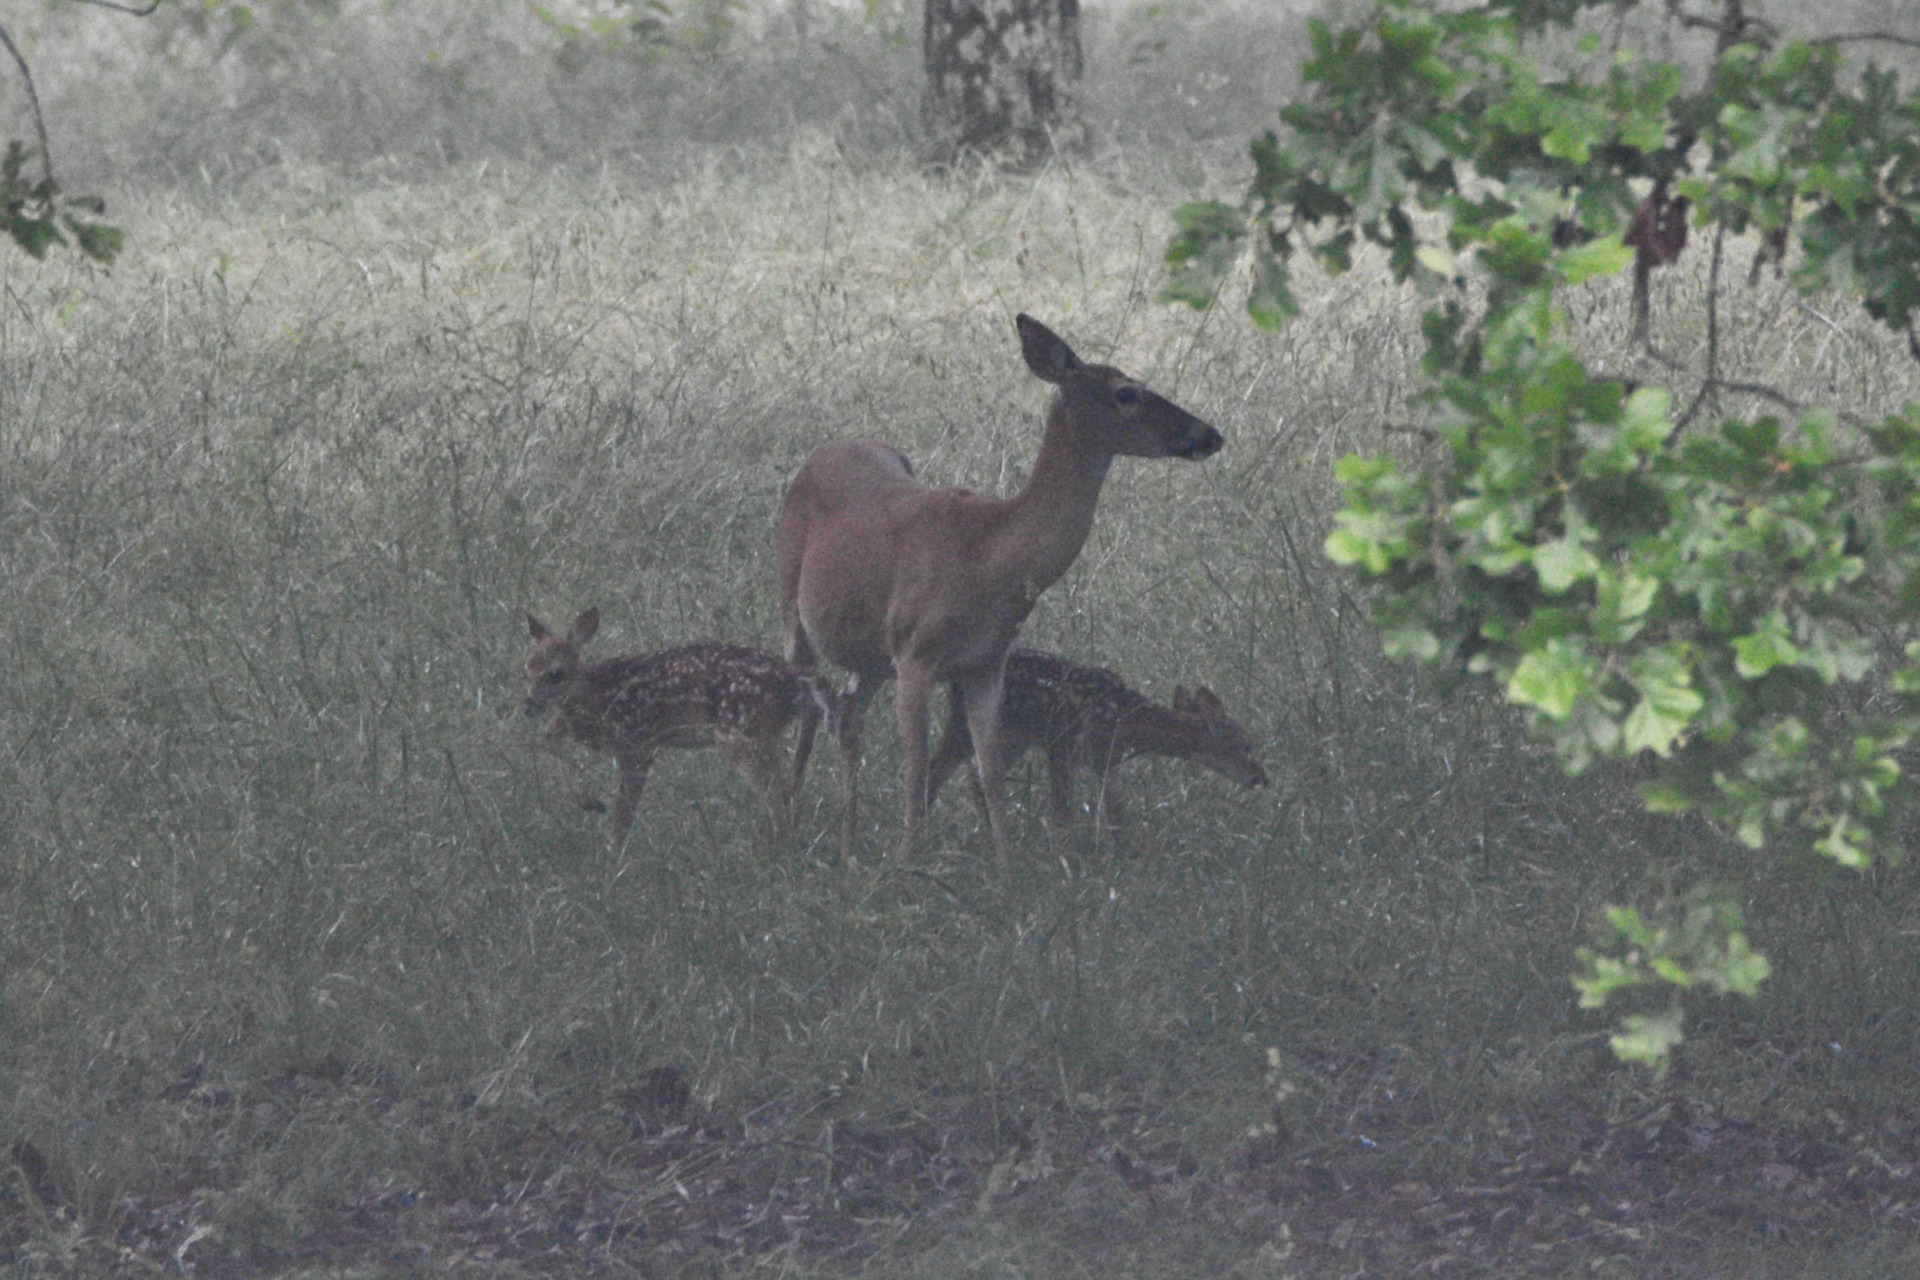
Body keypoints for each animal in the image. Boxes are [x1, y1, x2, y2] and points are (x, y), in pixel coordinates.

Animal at [522, 608, 818, 844]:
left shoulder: (637, 746)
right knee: (788, 791)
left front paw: (614, 855)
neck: (598, 696)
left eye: (556, 674)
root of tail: (793, 678)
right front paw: (588, 802)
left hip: (738, 733)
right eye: (526, 670)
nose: (528, 706)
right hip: (764, 736)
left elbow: (623, 814)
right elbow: (547, 737)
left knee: (774, 795)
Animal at [776, 313, 1224, 858]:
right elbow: (916, 774)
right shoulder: (915, 653)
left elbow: (989, 776)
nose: (1211, 434)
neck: (988, 559)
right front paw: (905, 863)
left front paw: (1006, 867)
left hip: (870, 652)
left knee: (845, 713)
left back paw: (848, 843)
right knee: (805, 702)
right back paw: (784, 823)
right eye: (1126, 393)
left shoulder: (986, 661)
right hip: (793, 604)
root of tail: (821, 453)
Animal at [924, 647, 1269, 836]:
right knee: (935, 770)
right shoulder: (1061, 744)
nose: (1261, 778)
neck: (1129, 722)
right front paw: (1068, 856)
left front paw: (1123, 854)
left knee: (977, 777)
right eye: (1245, 744)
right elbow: (1062, 811)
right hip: (964, 726)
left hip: (1012, 738)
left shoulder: (1106, 762)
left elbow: (1116, 814)